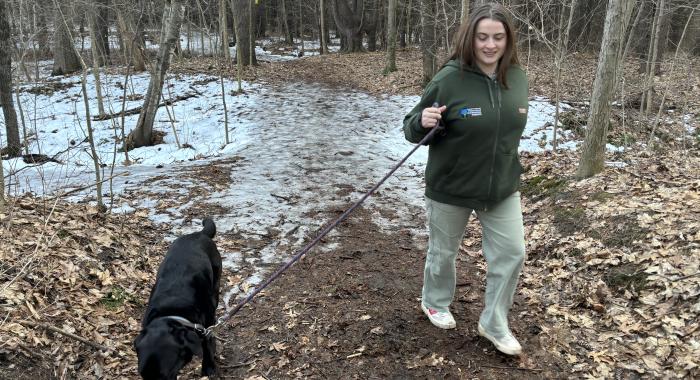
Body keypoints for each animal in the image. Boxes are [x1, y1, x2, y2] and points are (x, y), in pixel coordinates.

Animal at [135, 218, 223, 378]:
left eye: (164, 376)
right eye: (143, 375)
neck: (172, 310)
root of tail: (199, 233)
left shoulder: (206, 324)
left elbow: (207, 343)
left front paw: (208, 367)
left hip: (215, 286)